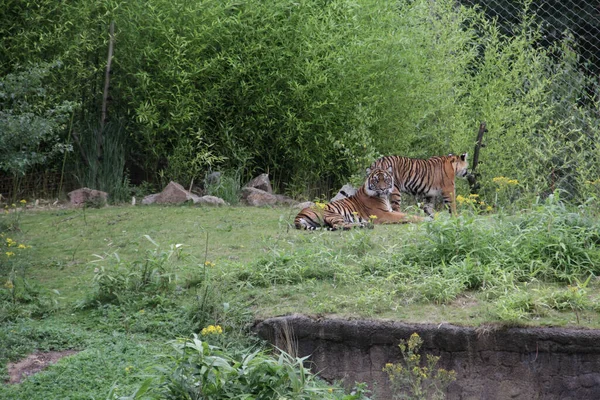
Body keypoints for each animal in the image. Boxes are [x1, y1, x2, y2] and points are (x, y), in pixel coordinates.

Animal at [294, 165, 422, 228]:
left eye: (385, 179)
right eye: (376, 180)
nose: (383, 189)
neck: (384, 197)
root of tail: (298, 215)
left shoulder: (390, 211)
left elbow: (406, 214)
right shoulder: (383, 214)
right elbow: (406, 216)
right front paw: (426, 219)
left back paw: (364, 224)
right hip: (332, 214)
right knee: (338, 226)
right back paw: (364, 225)